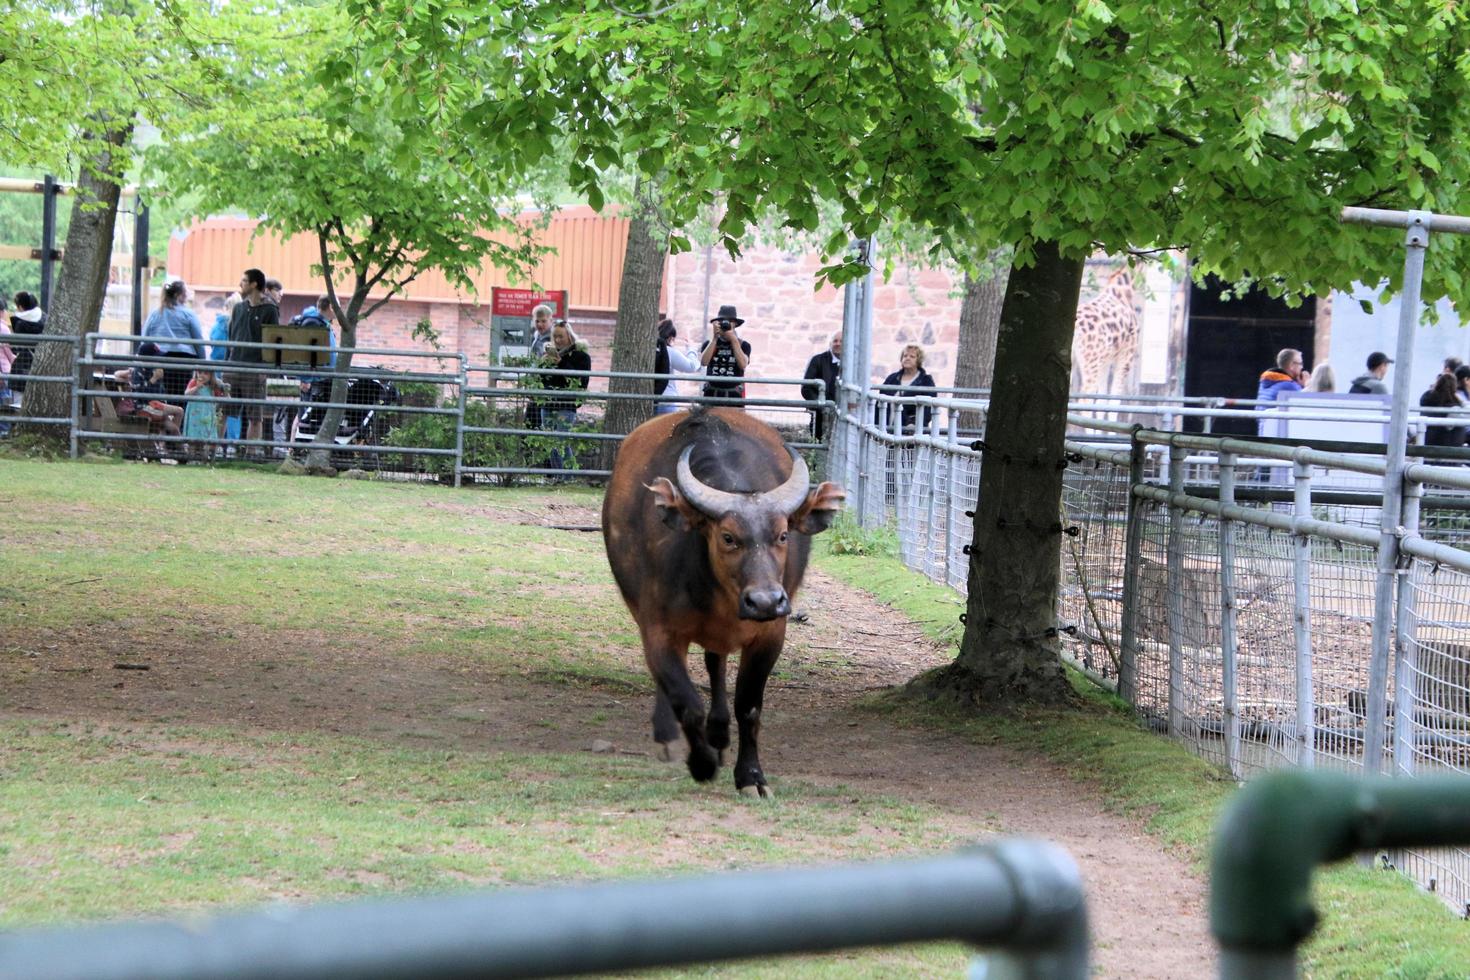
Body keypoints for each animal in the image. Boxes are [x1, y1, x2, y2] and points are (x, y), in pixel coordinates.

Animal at [1076, 264, 1140, 399]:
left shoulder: (1105, 361)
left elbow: (1103, 395)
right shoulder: (1127, 356)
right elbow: (1115, 395)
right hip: (1091, 361)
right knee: (1086, 393)